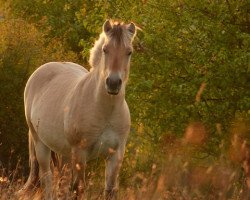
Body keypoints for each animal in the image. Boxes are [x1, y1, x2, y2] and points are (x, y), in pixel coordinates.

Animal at [18, 19, 137, 199]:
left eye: (129, 52)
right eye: (105, 50)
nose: (113, 83)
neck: (105, 112)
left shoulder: (116, 155)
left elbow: (110, 190)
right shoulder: (80, 154)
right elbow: (78, 189)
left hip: (65, 154)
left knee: (60, 182)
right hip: (41, 145)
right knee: (47, 180)